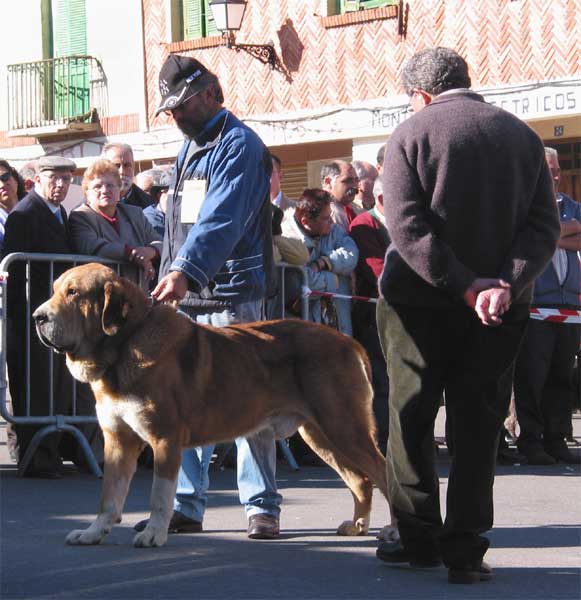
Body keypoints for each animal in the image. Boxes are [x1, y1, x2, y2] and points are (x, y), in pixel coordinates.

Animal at [34, 264, 396, 548]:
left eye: (74, 293)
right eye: (56, 290)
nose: (38, 317)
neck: (124, 344)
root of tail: (349, 341)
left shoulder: (164, 439)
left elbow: (159, 495)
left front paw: (153, 534)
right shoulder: (117, 440)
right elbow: (109, 495)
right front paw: (93, 532)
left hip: (343, 425)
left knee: (381, 472)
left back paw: (393, 530)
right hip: (320, 433)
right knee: (361, 480)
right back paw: (358, 526)